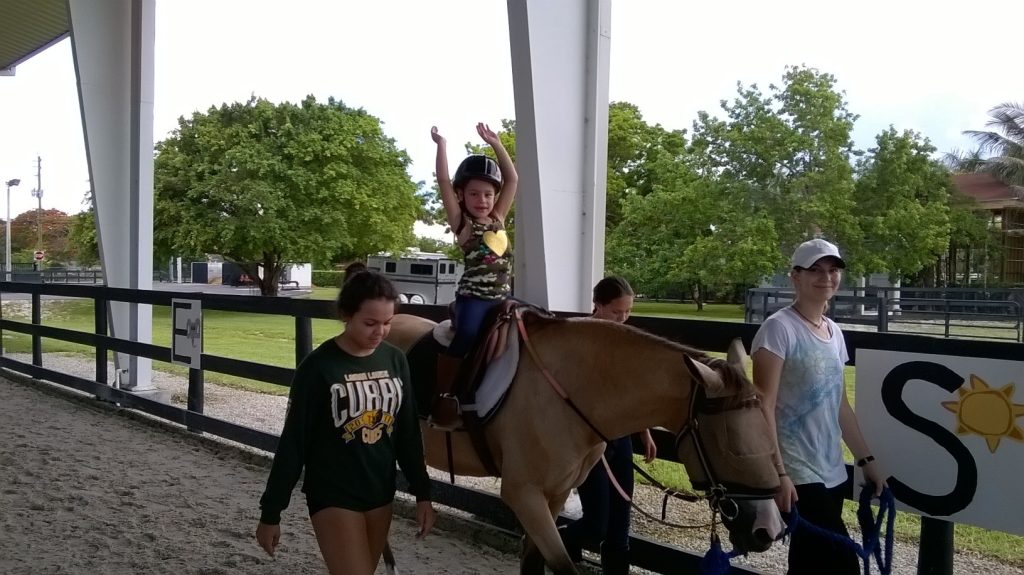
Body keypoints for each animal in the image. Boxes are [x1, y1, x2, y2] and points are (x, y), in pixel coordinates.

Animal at [385, 311, 782, 574]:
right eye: (729, 442)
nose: (767, 530)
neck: (571, 390)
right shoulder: (524, 495)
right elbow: (563, 567)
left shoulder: (556, 492)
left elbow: (533, 562)